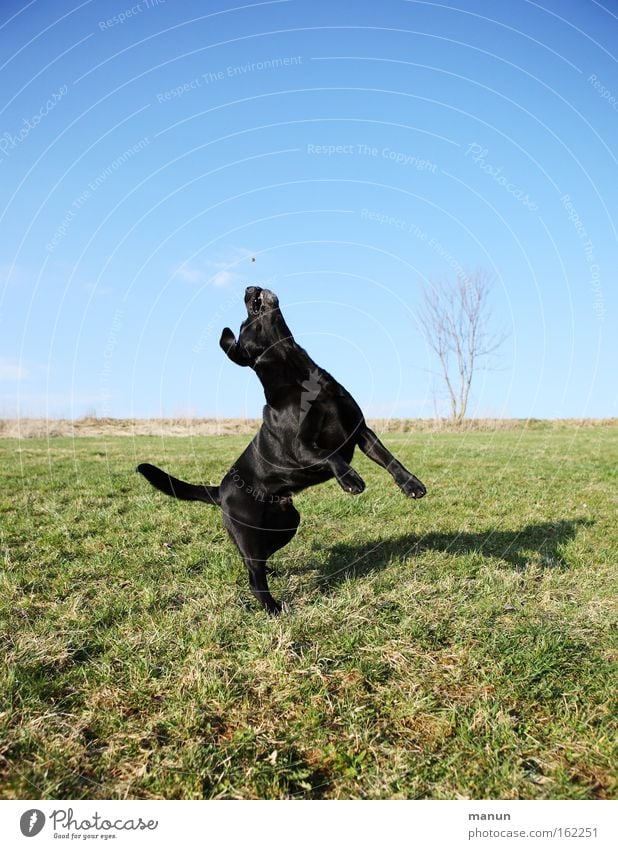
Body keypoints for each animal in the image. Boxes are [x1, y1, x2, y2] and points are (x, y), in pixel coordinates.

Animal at [137, 288, 426, 612]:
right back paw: (273, 607)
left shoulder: (360, 430)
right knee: (254, 574)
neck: (298, 372)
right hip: (248, 530)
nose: (248, 289)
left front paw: (412, 485)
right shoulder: (301, 448)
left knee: (260, 558)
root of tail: (220, 490)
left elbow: (389, 459)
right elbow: (330, 455)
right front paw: (351, 479)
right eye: (244, 323)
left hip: (287, 523)